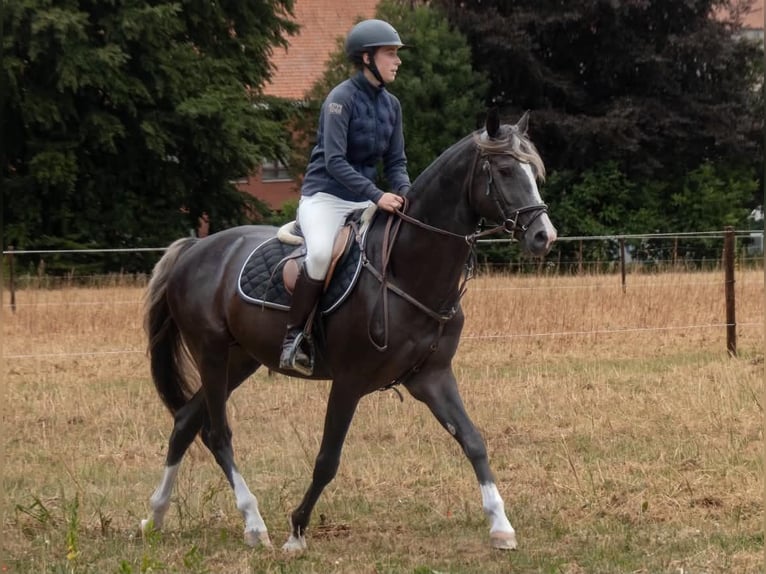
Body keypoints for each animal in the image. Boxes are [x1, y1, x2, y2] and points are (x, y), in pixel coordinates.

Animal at [140, 109, 557, 552]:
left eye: (535, 172)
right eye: (506, 169)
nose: (544, 236)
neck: (405, 272)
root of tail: (195, 249)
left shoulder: (432, 376)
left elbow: (473, 441)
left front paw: (501, 525)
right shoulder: (349, 381)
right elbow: (327, 459)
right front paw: (297, 531)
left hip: (239, 360)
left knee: (185, 422)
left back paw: (155, 516)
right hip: (212, 354)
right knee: (217, 433)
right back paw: (253, 523)